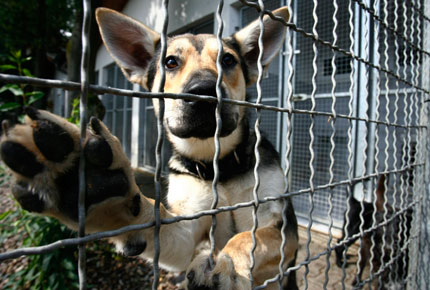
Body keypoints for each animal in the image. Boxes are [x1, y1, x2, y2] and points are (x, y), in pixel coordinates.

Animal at [0, 6, 298, 290]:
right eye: (170, 62)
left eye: (228, 60)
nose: (203, 92)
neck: (218, 164)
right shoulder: (187, 228)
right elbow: (157, 218)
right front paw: (98, 189)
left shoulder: (281, 224)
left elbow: (248, 236)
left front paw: (230, 266)